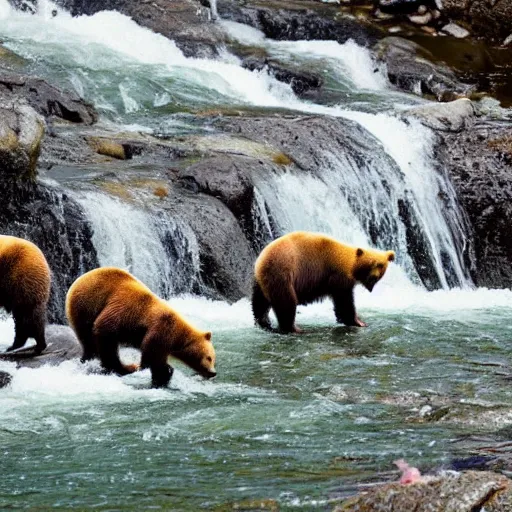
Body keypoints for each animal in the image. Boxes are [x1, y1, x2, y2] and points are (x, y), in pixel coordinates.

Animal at [65, 268, 216, 388]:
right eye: (209, 357)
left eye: (213, 358)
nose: (213, 372)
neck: (175, 335)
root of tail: (79, 279)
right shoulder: (147, 322)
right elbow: (106, 328)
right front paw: (158, 371)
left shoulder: (157, 339)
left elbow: (156, 357)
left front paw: (163, 375)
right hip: (87, 306)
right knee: (95, 339)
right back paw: (122, 367)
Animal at [252, 231, 396, 334]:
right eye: (373, 263)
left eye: (381, 265)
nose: (374, 278)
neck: (350, 265)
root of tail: (261, 261)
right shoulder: (336, 275)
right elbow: (344, 301)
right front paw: (358, 322)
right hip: (282, 273)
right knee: (286, 302)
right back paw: (294, 328)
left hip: (262, 281)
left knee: (259, 303)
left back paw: (264, 323)